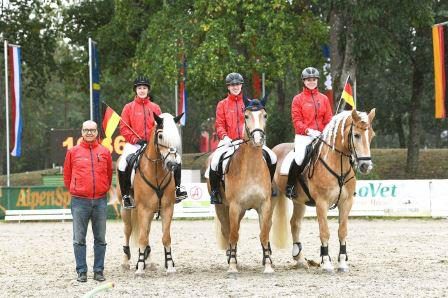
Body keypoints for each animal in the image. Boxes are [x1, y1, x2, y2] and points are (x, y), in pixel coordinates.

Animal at [118, 112, 185, 274]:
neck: (156, 172)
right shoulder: (144, 209)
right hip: (126, 209)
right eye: (160, 136)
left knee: (145, 233)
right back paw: (127, 261)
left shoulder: (167, 208)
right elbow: (141, 238)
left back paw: (148, 261)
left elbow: (166, 238)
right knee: (128, 231)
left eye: (176, 135)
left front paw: (170, 265)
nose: (172, 164)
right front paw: (140, 268)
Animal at [208, 99, 274, 274]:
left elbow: (264, 234)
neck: (251, 168)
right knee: (228, 231)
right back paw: (231, 257)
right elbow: (233, 234)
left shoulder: (264, 205)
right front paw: (232, 266)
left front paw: (268, 265)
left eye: (265, 115)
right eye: (246, 116)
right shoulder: (234, 206)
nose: (258, 139)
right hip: (222, 207)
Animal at [272, 109, 376, 272]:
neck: (337, 164)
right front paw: (326, 262)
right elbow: (324, 232)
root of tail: (274, 148)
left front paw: (342, 263)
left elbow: (342, 231)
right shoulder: (322, 203)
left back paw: (299, 259)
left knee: (295, 224)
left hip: (299, 201)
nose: (366, 166)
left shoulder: (346, 202)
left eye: (372, 135)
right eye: (356, 135)